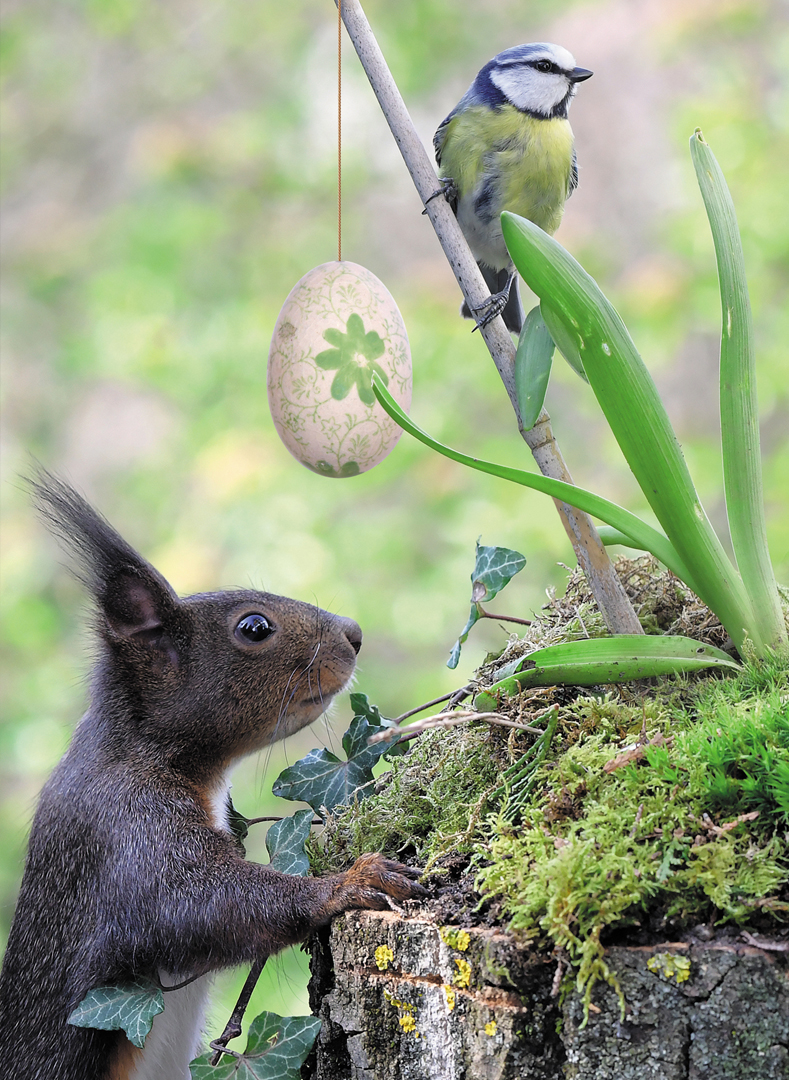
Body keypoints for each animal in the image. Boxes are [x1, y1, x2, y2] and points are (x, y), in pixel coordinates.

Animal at [0, 477, 425, 1080]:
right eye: (254, 627)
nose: (355, 633)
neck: (143, 747)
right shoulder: (128, 827)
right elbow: (197, 902)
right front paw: (349, 882)